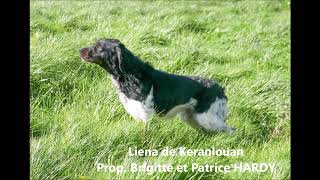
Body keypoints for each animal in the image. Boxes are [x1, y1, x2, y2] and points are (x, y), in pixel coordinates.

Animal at [80, 38, 235, 134]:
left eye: (98, 46)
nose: (80, 50)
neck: (129, 75)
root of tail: (220, 89)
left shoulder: (146, 116)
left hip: (208, 118)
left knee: (231, 130)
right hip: (192, 117)